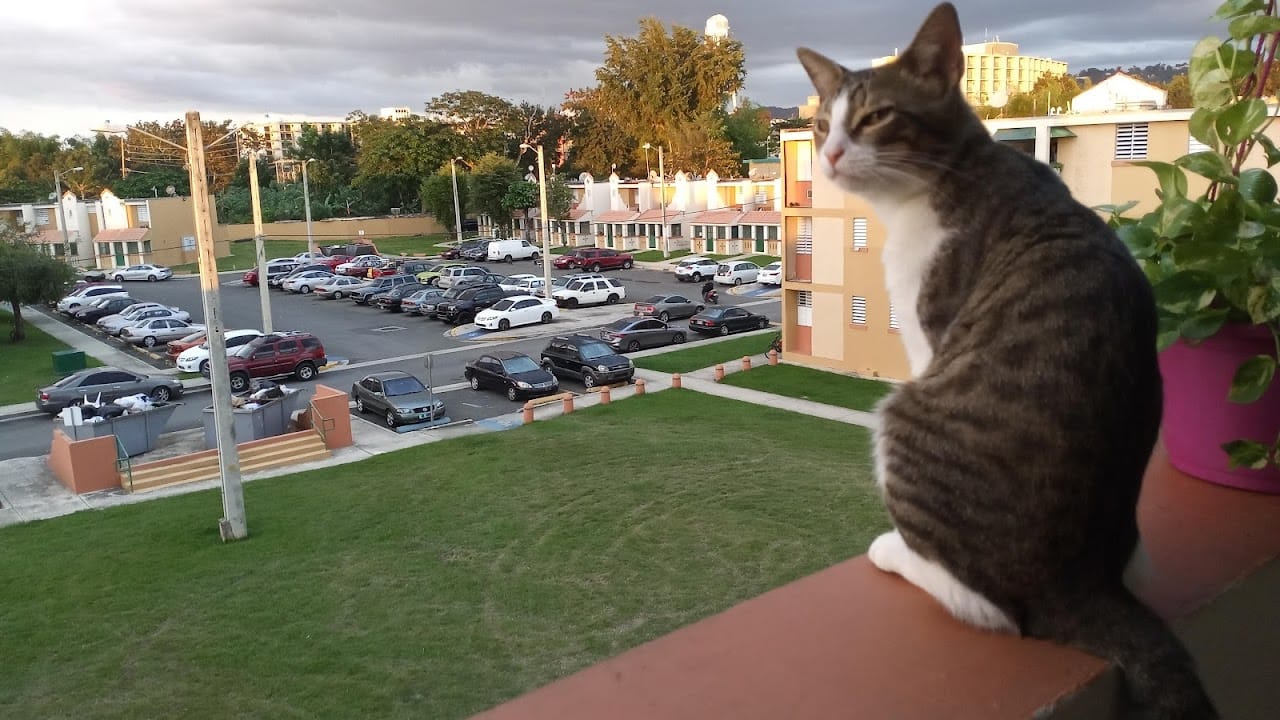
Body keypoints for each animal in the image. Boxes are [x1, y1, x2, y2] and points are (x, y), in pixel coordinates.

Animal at [793, 4, 1213, 712]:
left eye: (876, 117)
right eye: (823, 124)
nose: (829, 154)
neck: (954, 172)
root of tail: (1081, 582)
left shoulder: (930, 334)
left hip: (907, 415)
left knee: (994, 611)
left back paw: (897, 554)